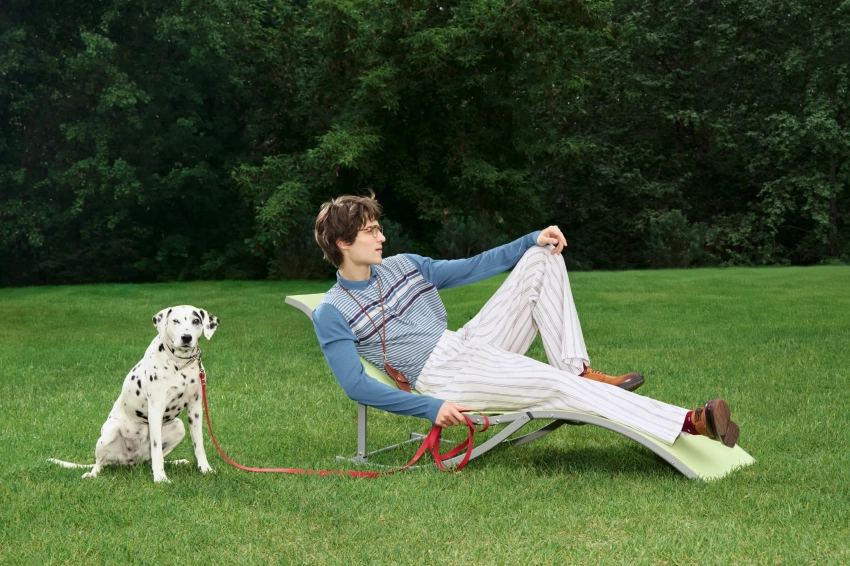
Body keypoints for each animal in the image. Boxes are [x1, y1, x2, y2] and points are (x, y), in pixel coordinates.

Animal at [49, 306, 219, 483]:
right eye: (175, 321)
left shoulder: (195, 408)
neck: (180, 364)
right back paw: (92, 473)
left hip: (178, 426)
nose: (186, 337)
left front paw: (205, 469)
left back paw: (176, 462)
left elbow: (198, 444)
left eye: (196, 321)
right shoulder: (156, 408)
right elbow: (157, 449)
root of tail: (129, 461)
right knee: (99, 463)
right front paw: (160, 478)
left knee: (151, 459)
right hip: (111, 431)